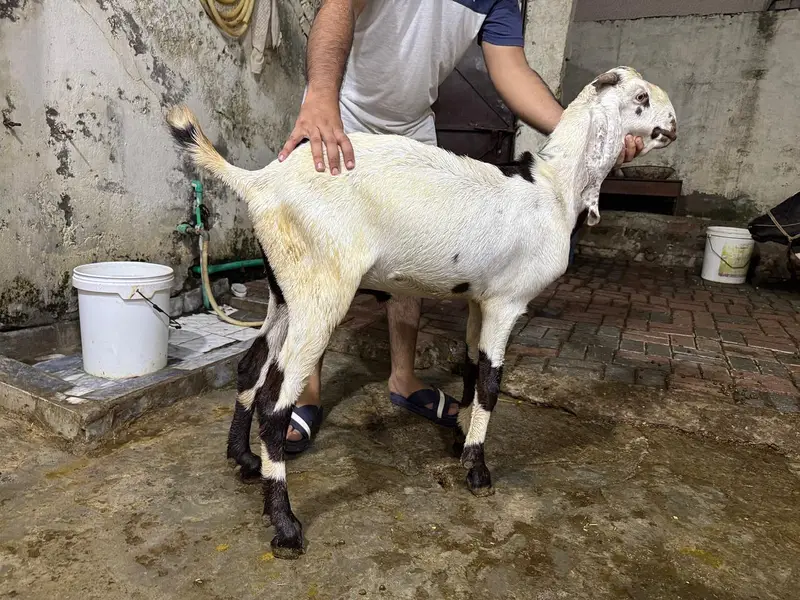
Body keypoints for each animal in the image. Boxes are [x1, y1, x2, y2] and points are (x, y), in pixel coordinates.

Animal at [166, 66, 677, 559]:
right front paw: (477, 469)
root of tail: (260, 183)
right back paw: (286, 527)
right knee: (275, 404)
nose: (673, 126)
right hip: (320, 288)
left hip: (284, 286)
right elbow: (492, 383)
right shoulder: (507, 301)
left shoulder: (478, 299)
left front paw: (459, 438)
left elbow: (472, 369)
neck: (553, 188)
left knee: (251, 365)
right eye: (641, 98)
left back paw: (244, 460)